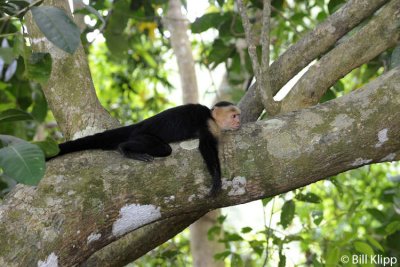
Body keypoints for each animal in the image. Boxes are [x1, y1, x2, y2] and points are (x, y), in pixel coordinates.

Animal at [47, 101, 241, 196]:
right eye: (234, 116)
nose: (239, 121)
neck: (212, 117)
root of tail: (139, 124)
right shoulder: (208, 124)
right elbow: (206, 146)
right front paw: (216, 180)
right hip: (143, 134)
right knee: (164, 149)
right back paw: (126, 149)